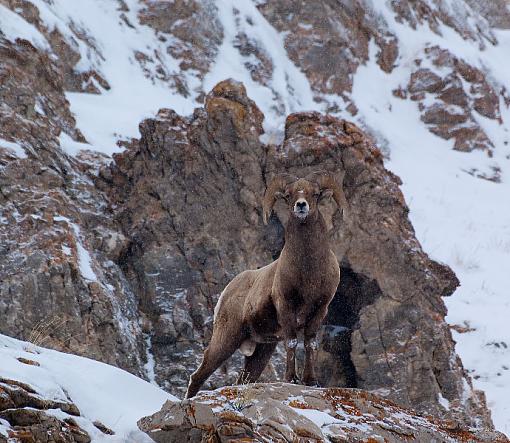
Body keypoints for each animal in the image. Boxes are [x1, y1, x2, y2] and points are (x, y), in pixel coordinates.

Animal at [185, 171, 348, 398]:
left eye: (315, 194)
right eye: (288, 195)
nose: (301, 205)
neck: (309, 271)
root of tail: (227, 292)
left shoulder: (318, 311)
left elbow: (310, 344)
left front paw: (311, 381)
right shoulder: (287, 308)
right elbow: (292, 343)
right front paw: (292, 379)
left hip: (260, 352)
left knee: (242, 380)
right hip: (226, 339)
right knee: (199, 375)